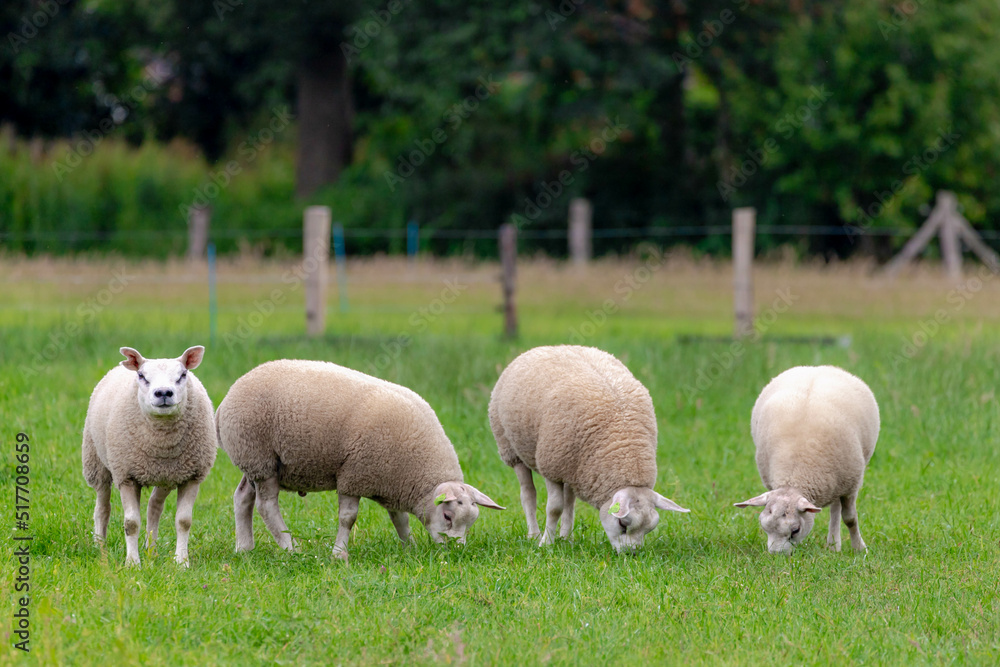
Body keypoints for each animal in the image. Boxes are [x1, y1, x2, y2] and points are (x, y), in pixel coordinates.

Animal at [82, 346, 217, 566]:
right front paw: (132, 563)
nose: (163, 393)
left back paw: (150, 549)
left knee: (154, 506)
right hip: (97, 463)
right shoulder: (126, 475)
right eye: (141, 376)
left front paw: (181, 562)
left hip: (167, 476)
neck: (161, 441)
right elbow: (131, 523)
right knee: (102, 507)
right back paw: (100, 546)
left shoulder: (192, 476)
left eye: (183, 375)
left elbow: (184, 521)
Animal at [214, 359, 504, 561]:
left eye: (471, 522)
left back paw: (244, 548)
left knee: (242, 497)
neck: (417, 476)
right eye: (447, 515)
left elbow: (400, 519)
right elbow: (348, 518)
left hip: (256, 463)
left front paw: (408, 547)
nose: (456, 552)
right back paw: (291, 549)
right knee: (266, 506)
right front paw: (339, 554)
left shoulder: (390, 480)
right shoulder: (354, 475)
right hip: (260, 457)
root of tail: (225, 401)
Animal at [488, 345, 689, 552]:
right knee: (528, 494)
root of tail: (552, 346)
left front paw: (558, 539)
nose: (631, 555)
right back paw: (534, 534)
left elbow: (565, 505)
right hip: (511, 449)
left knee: (569, 500)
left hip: (573, 466)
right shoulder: (551, 467)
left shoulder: (571, 464)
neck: (623, 444)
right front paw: (546, 543)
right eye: (623, 524)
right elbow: (554, 508)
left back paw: (565, 537)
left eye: (648, 530)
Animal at [735, 365, 879, 554]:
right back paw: (833, 545)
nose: (776, 555)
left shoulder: (851, 485)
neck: (794, 477)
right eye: (764, 527)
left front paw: (860, 549)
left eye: (795, 530)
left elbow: (850, 519)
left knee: (836, 510)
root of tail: (819, 367)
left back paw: (834, 545)